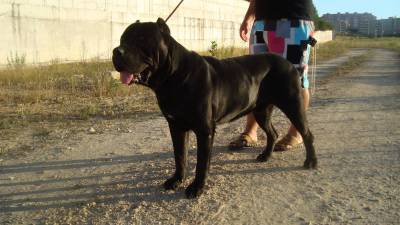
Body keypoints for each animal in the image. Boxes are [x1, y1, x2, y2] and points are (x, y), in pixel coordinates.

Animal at [111, 18, 318, 199]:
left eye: (141, 39)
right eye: (122, 39)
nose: (116, 51)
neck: (173, 75)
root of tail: (288, 64)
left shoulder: (204, 130)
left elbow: (202, 163)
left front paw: (196, 188)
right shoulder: (176, 126)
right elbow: (180, 156)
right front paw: (177, 180)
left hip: (292, 105)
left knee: (307, 133)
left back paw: (311, 162)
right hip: (261, 111)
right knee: (272, 133)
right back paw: (266, 156)